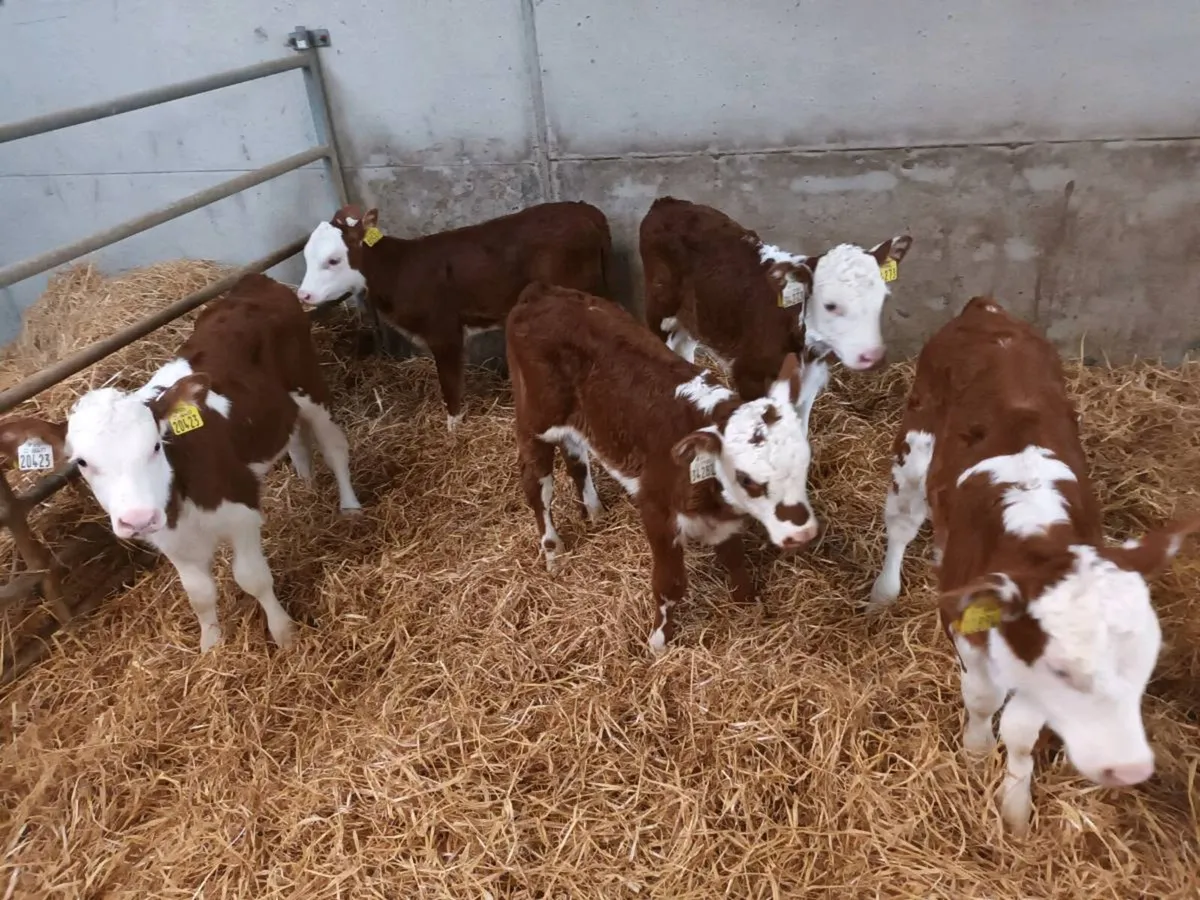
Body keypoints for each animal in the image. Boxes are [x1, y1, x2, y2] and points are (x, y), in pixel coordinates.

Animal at [0, 274, 361, 652]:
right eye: (82, 462)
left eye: (156, 445)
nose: (138, 519)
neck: (180, 500)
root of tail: (255, 279)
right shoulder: (169, 539)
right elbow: (199, 594)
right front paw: (210, 647)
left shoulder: (241, 515)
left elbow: (253, 578)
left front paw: (284, 634)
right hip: (278, 410)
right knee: (296, 441)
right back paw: (306, 486)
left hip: (310, 387)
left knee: (334, 447)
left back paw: (349, 507)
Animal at [297, 202, 612, 431]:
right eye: (307, 256)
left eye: (333, 260)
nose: (303, 295)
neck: (398, 269)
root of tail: (587, 211)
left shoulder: (444, 332)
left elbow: (449, 384)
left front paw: (453, 428)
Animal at [506, 282, 823, 654]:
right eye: (748, 480)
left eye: (804, 465)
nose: (802, 534)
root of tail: (541, 292)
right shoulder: (656, 509)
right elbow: (670, 584)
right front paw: (658, 641)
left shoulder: (722, 520)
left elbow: (735, 561)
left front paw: (749, 605)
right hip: (534, 422)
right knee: (538, 486)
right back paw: (553, 552)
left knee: (576, 455)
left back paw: (594, 510)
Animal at [639, 196, 911, 434]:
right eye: (830, 305)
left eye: (882, 299)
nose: (872, 356)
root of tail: (666, 202)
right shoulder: (749, 376)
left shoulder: (810, 381)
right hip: (660, 310)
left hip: (695, 317)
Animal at [867, 296, 1199, 835]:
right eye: (1065, 670)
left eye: (1145, 661)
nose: (1130, 769)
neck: (1038, 535)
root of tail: (986, 309)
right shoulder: (967, 628)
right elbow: (982, 698)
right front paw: (976, 752)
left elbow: (1022, 732)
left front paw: (1015, 807)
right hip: (915, 443)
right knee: (902, 521)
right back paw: (883, 592)